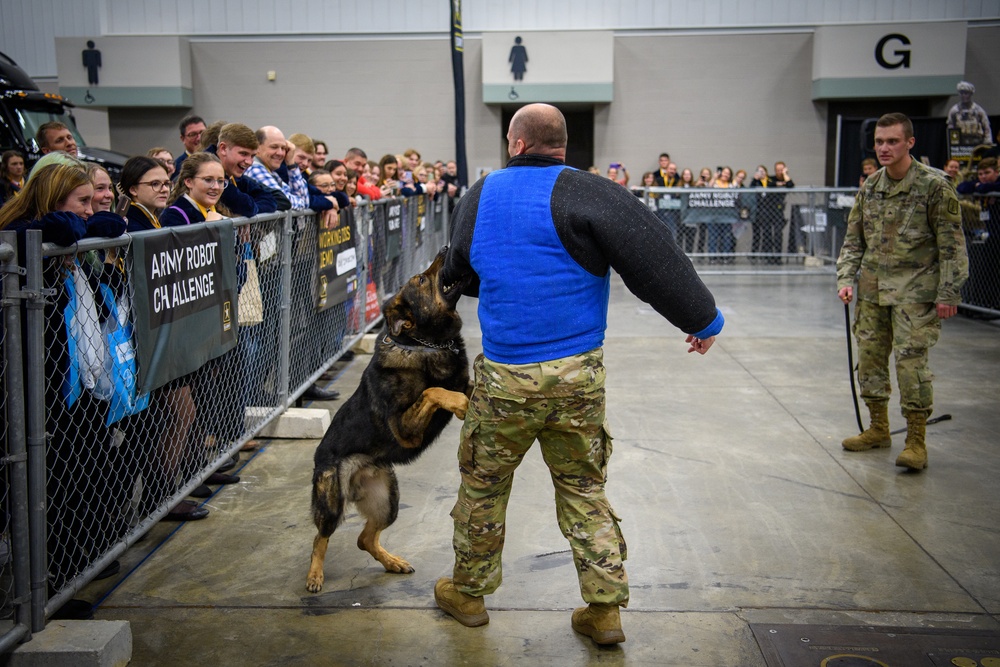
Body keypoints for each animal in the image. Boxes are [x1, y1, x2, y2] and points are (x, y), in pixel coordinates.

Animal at [306, 248, 470, 592]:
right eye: (420, 279)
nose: (445, 249)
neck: (421, 343)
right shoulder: (406, 429)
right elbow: (434, 391)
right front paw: (460, 404)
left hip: (387, 502)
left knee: (364, 539)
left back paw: (393, 562)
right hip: (332, 502)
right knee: (320, 538)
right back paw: (315, 576)